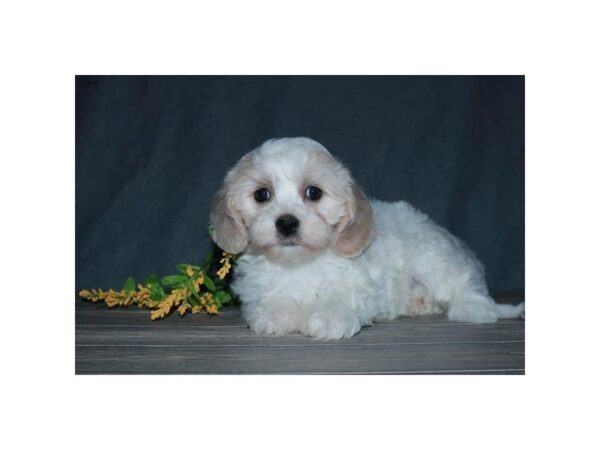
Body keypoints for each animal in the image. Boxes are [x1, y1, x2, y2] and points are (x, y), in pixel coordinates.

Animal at [209, 137, 524, 338]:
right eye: (262, 194)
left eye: (314, 192)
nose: (286, 223)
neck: (300, 264)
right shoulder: (260, 289)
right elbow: (273, 301)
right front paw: (275, 314)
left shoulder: (358, 287)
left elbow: (338, 299)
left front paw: (328, 318)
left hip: (431, 257)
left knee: (462, 284)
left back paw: (474, 309)